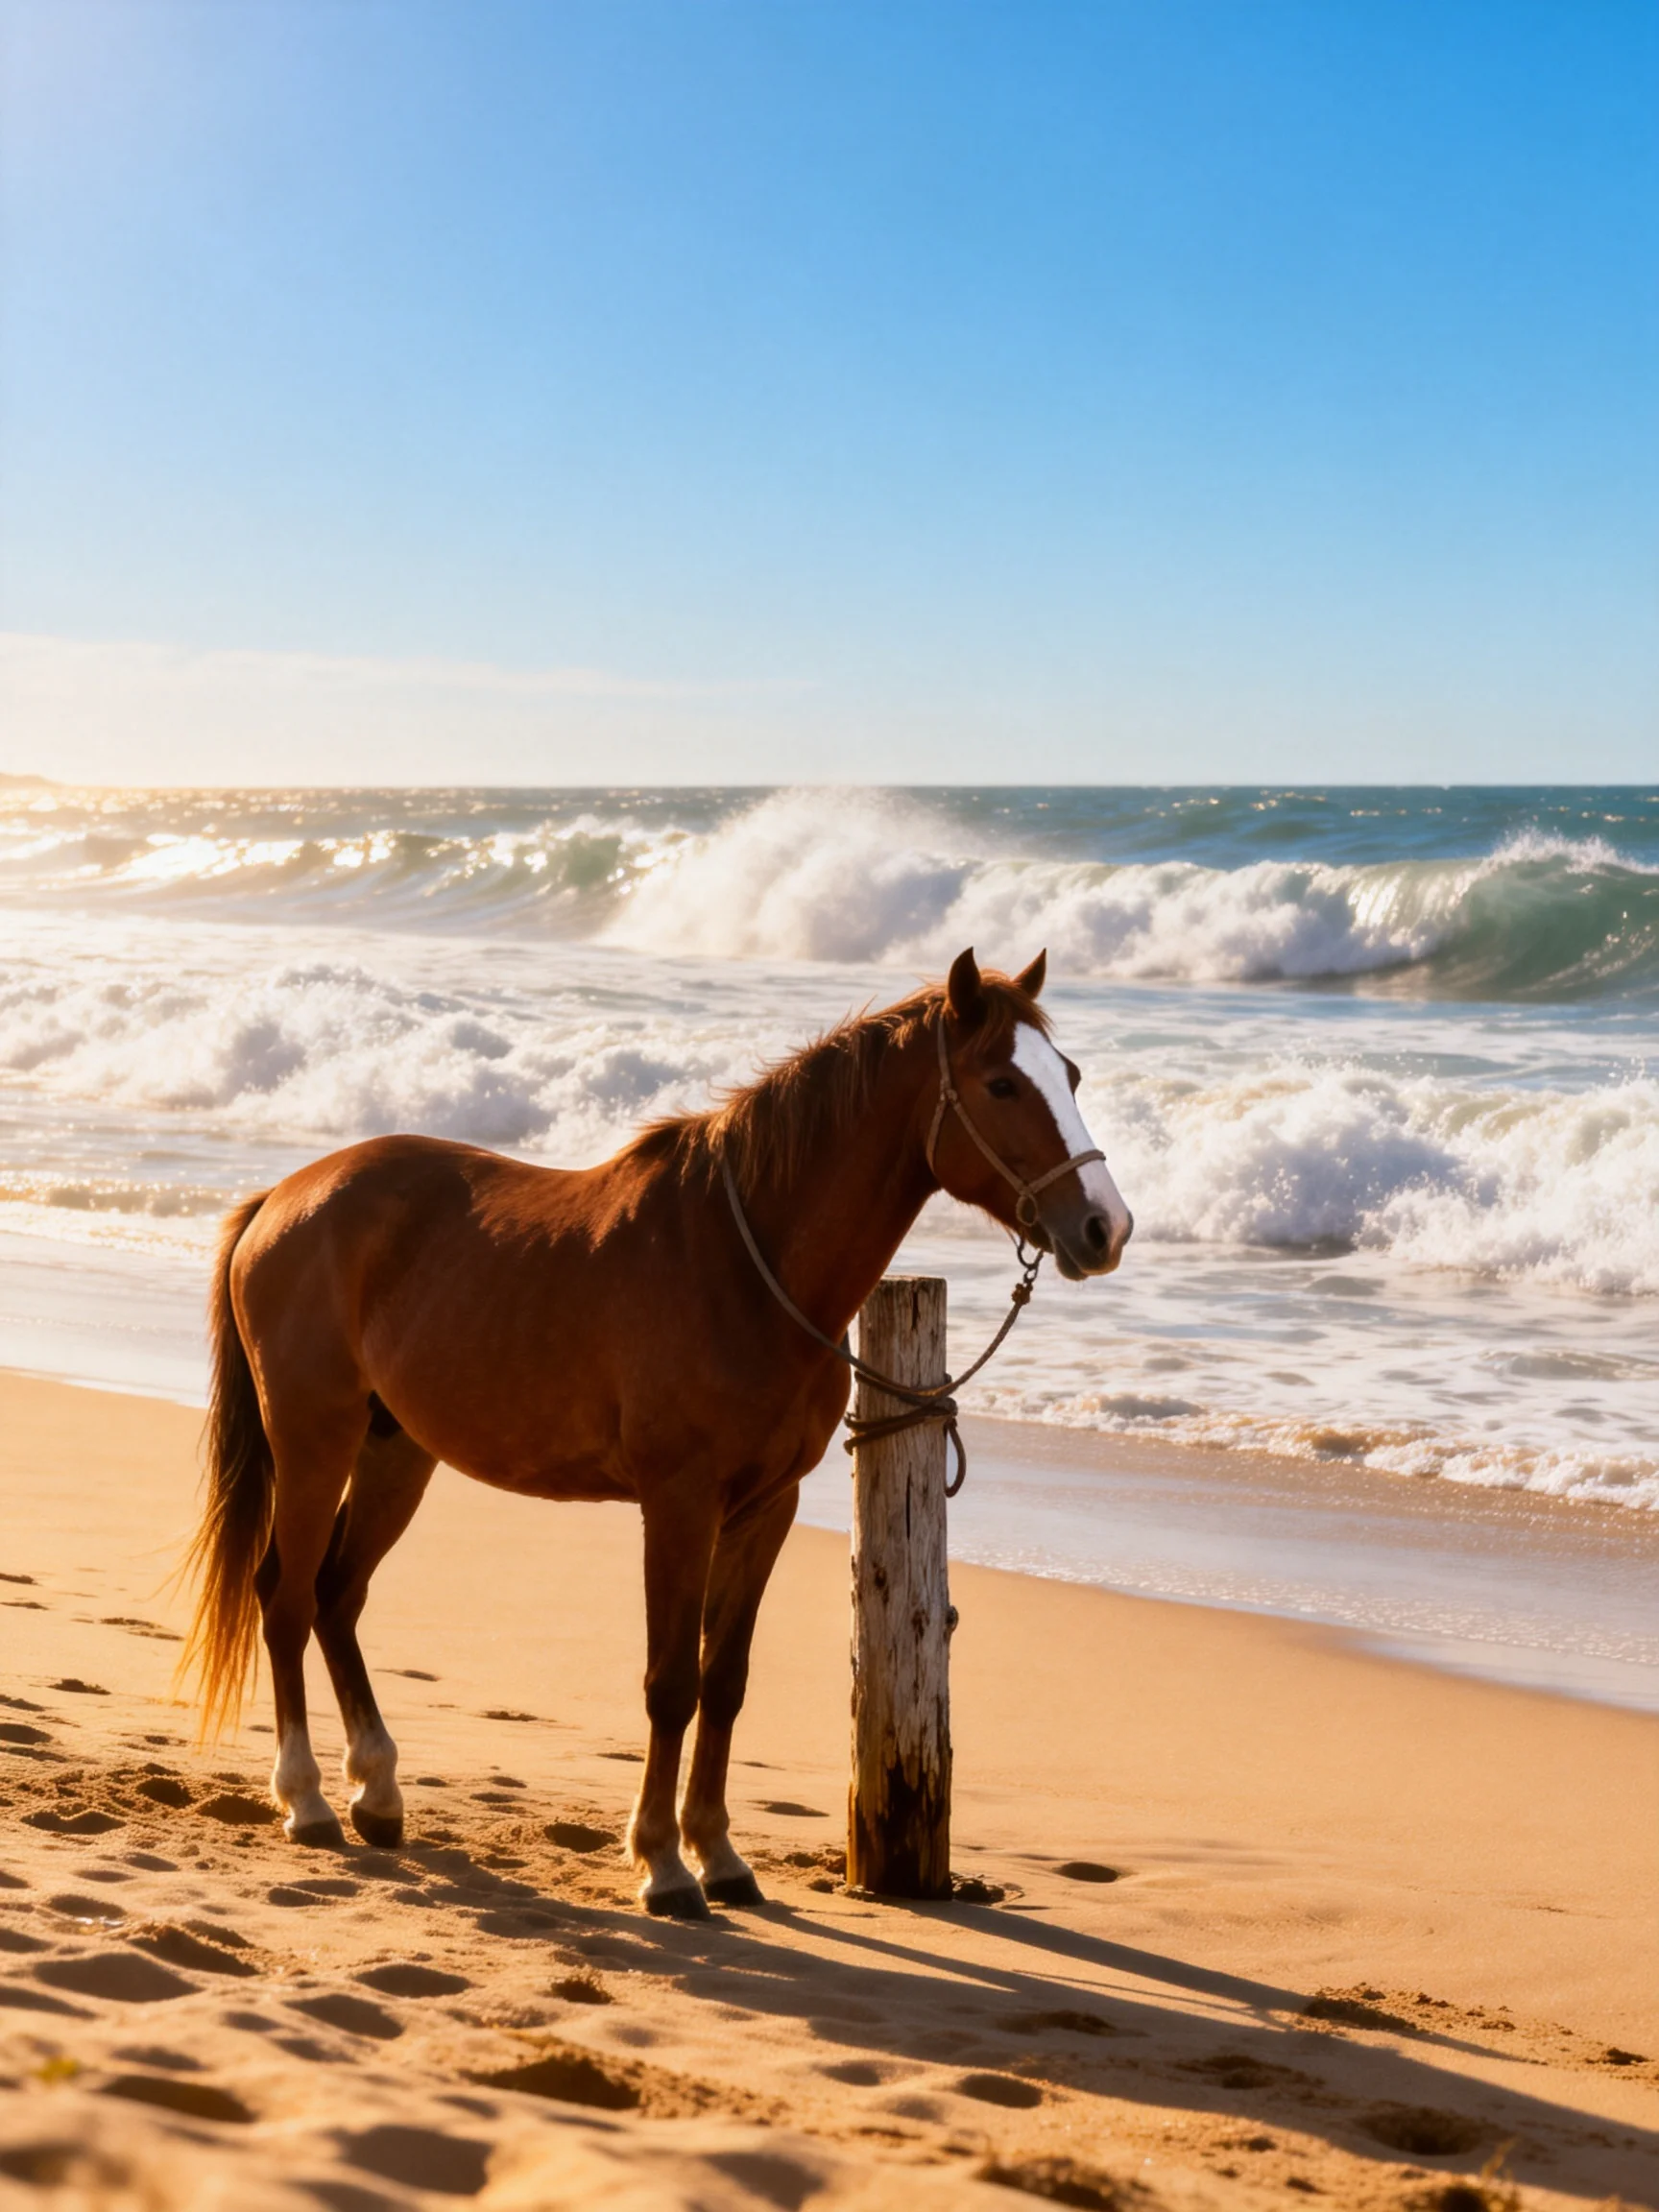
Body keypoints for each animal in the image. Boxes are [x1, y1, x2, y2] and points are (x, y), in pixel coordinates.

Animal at [181, 947, 1132, 1918]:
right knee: (287, 1598)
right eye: (1002, 1083)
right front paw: (664, 1864)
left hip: (397, 1451)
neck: (745, 1269)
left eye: (1070, 1076)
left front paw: (718, 1853)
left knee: (338, 1597)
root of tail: (282, 1200)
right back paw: (305, 1800)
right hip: (313, 1442)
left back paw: (377, 1791)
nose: (1106, 1228)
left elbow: (724, 1682)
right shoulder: (679, 1503)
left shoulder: (765, 1508)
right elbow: (671, 1684)